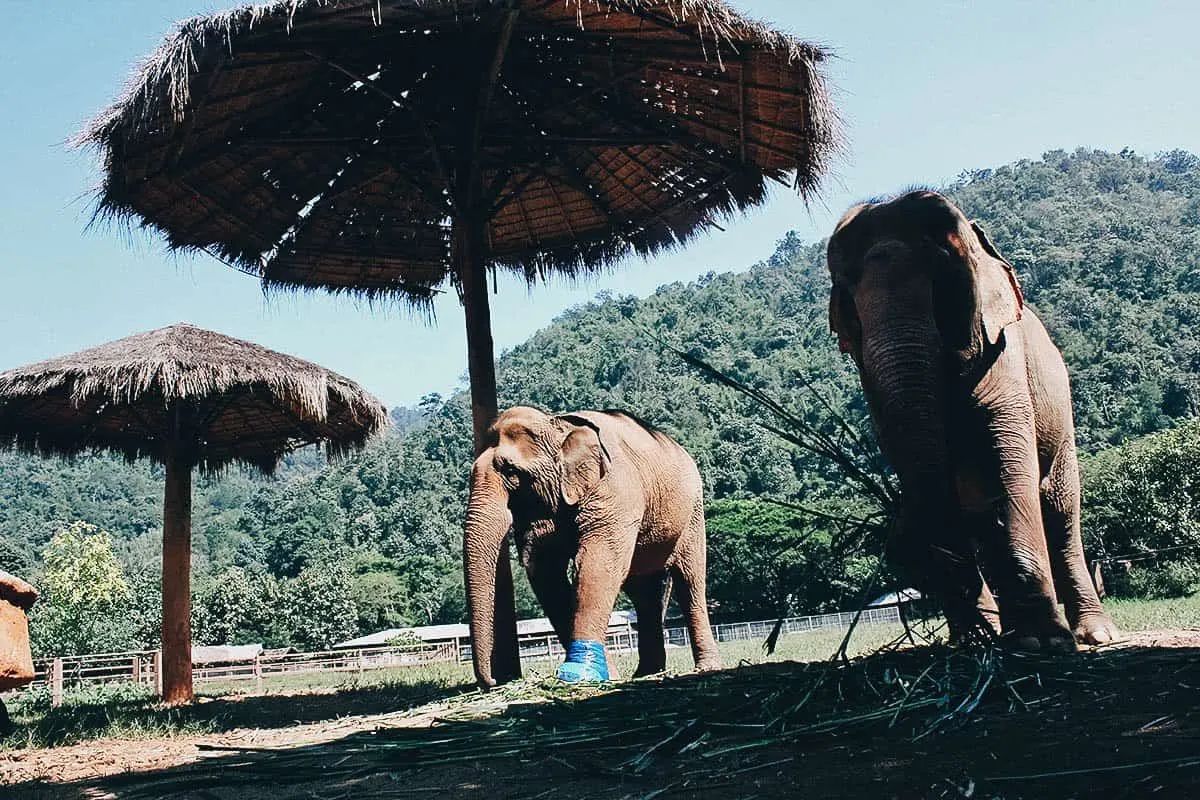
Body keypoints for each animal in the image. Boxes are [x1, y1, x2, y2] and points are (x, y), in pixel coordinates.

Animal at [458, 407, 720, 690]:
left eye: (511, 472)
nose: (493, 681)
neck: (558, 426)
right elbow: (547, 575)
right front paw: (607, 675)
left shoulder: (614, 492)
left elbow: (597, 564)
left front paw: (578, 675)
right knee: (643, 592)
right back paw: (646, 673)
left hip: (692, 513)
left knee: (689, 579)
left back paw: (705, 668)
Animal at [830, 189, 1118, 652]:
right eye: (849, 294)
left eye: (941, 277)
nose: (899, 540)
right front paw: (974, 639)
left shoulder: (1004, 357)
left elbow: (1008, 464)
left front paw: (1042, 642)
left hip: (1062, 424)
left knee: (1060, 512)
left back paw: (1093, 635)